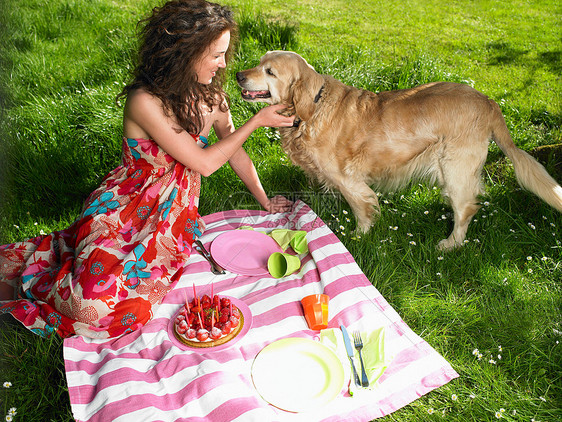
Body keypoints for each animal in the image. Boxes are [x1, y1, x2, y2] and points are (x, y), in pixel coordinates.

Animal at [235, 50, 560, 249]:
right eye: (259, 62)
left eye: (269, 71)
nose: (238, 75)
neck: (311, 108)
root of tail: (489, 102)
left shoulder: (350, 180)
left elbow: (363, 209)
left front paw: (359, 235)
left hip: (454, 166)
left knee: (467, 208)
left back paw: (450, 244)